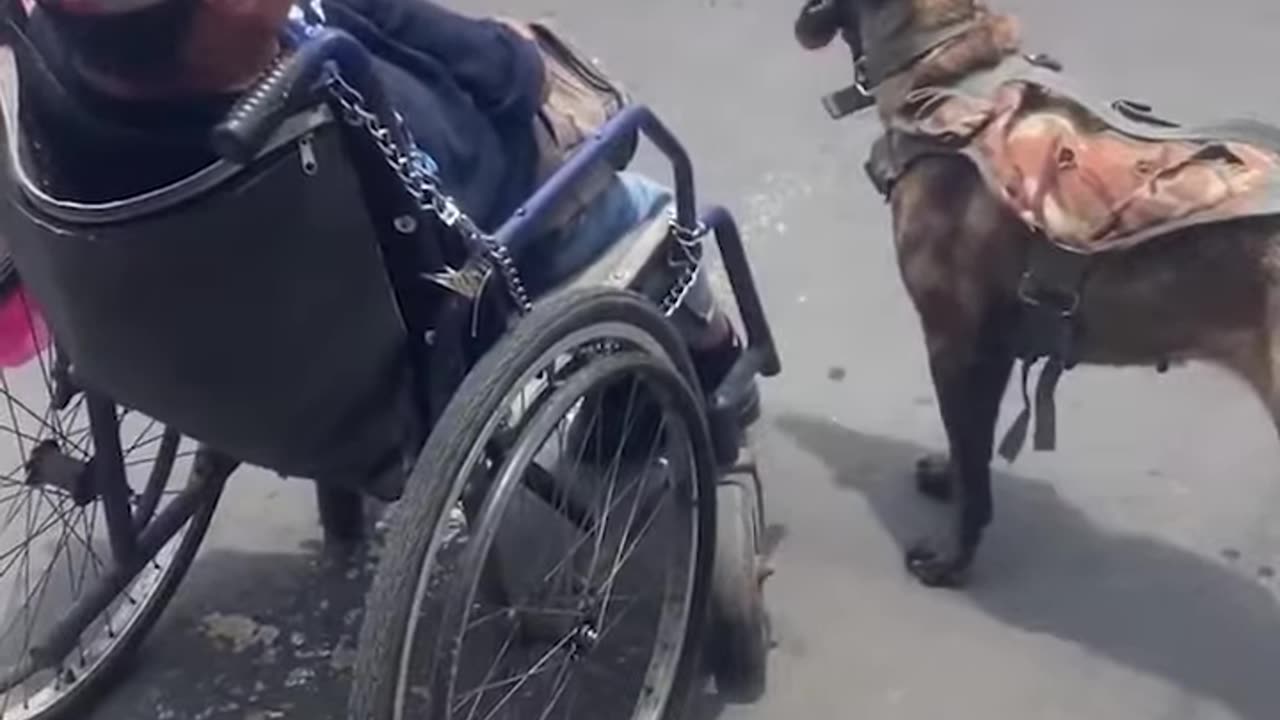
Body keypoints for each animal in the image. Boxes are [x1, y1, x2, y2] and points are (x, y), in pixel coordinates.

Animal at [793, 0, 1274, 586]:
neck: (945, 64)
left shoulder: (957, 344)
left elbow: (973, 464)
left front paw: (952, 558)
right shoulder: (993, 349)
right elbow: (968, 448)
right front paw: (948, 478)